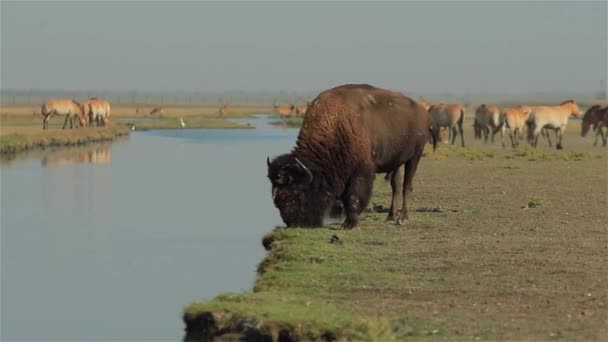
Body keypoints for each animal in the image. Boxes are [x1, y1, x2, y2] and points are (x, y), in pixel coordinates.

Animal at [268, 83, 432, 230]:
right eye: (276, 197)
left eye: (298, 193)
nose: (293, 223)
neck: (336, 124)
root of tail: (421, 111)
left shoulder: (361, 171)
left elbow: (353, 197)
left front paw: (349, 224)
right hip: (396, 161)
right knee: (396, 186)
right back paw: (390, 217)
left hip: (415, 157)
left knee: (406, 186)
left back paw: (402, 218)